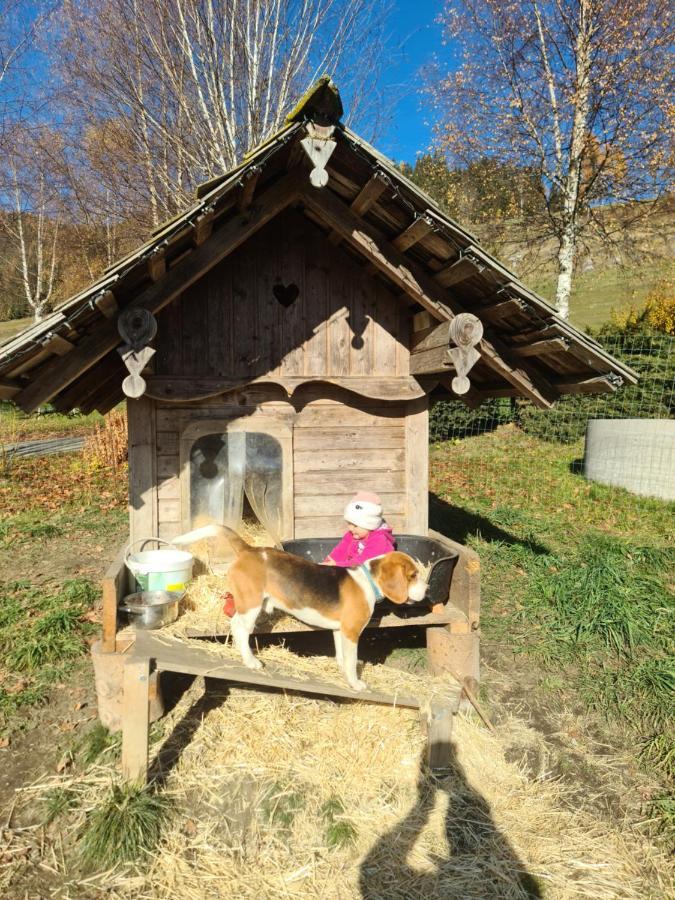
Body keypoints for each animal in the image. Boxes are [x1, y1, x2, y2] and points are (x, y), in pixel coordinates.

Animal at [223, 528, 428, 688]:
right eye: (413, 575)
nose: (427, 589)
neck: (367, 581)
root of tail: (249, 550)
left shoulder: (339, 630)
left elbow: (342, 657)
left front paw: (342, 671)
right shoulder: (351, 632)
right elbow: (351, 660)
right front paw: (355, 684)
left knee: (234, 624)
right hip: (251, 605)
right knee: (241, 629)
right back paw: (251, 661)